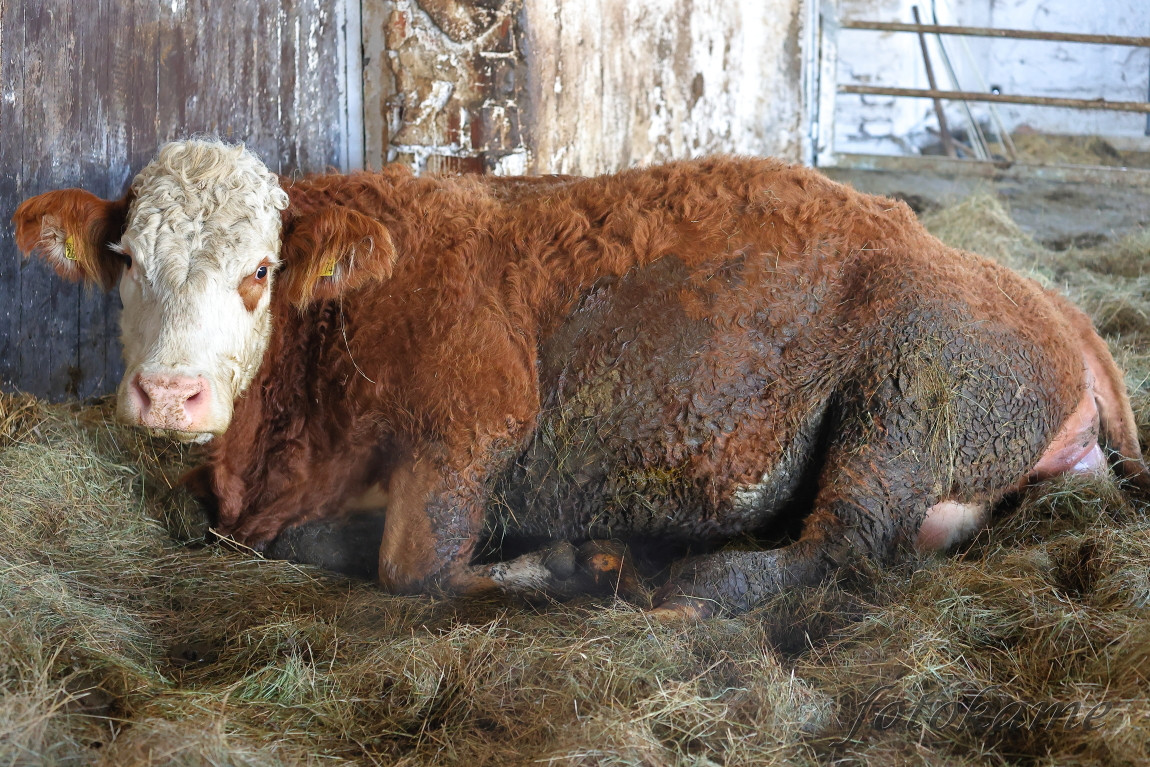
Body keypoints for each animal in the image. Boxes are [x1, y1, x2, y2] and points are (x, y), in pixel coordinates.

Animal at [11, 139, 1150, 616]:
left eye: (258, 271)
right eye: (126, 260)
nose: (171, 394)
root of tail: (1054, 304)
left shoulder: (476, 421)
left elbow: (409, 567)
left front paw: (551, 564)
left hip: (902, 397)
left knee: (837, 544)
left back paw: (668, 577)